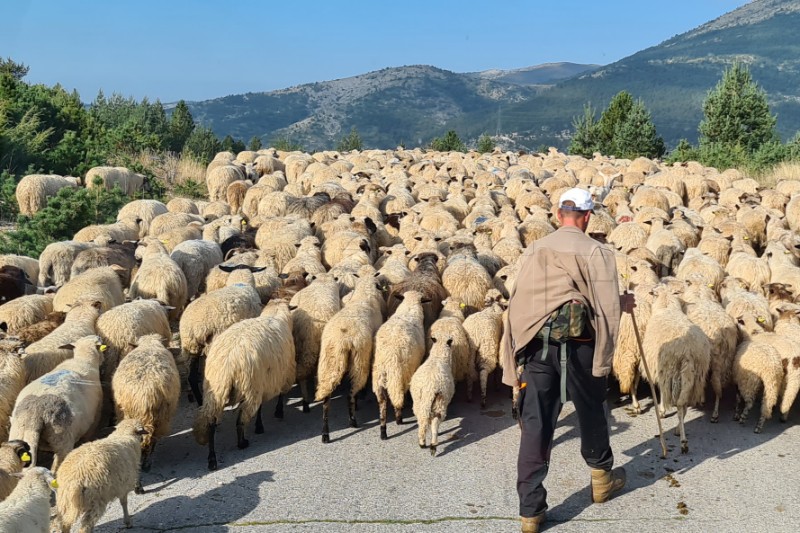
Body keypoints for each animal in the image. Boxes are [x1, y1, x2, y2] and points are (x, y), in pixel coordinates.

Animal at [111, 332, 179, 474]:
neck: (149, 344)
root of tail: (146, 395)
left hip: (134, 415)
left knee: (147, 440)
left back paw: (145, 463)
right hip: (160, 417)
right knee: (151, 439)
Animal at [192, 300, 296, 470]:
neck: (275, 314)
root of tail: (228, 363)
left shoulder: (264, 381)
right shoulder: (280, 375)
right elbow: (278, 396)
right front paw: (276, 413)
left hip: (215, 390)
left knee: (211, 422)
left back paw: (212, 459)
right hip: (249, 388)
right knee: (241, 420)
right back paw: (242, 443)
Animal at [316, 270, 384, 440]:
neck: (364, 297)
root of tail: (343, 338)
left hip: (328, 361)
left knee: (326, 398)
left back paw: (325, 433)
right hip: (359, 360)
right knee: (351, 393)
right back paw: (352, 421)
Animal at [374, 288, 428, 438]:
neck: (408, 310)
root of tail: (390, 357)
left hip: (379, 376)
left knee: (382, 401)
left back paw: (383, 431)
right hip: (401, 375)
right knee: (398, 399)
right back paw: (399, 419)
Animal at [640, 282, 708, 454]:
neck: (666, 307)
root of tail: (688, 351)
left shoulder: (661, 370)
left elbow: (661, 393)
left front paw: (662, 410)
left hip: (674, 373)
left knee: (679, 404)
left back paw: (683, 441)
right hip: (695, 376)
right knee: (684, 404)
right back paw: (679, 430)